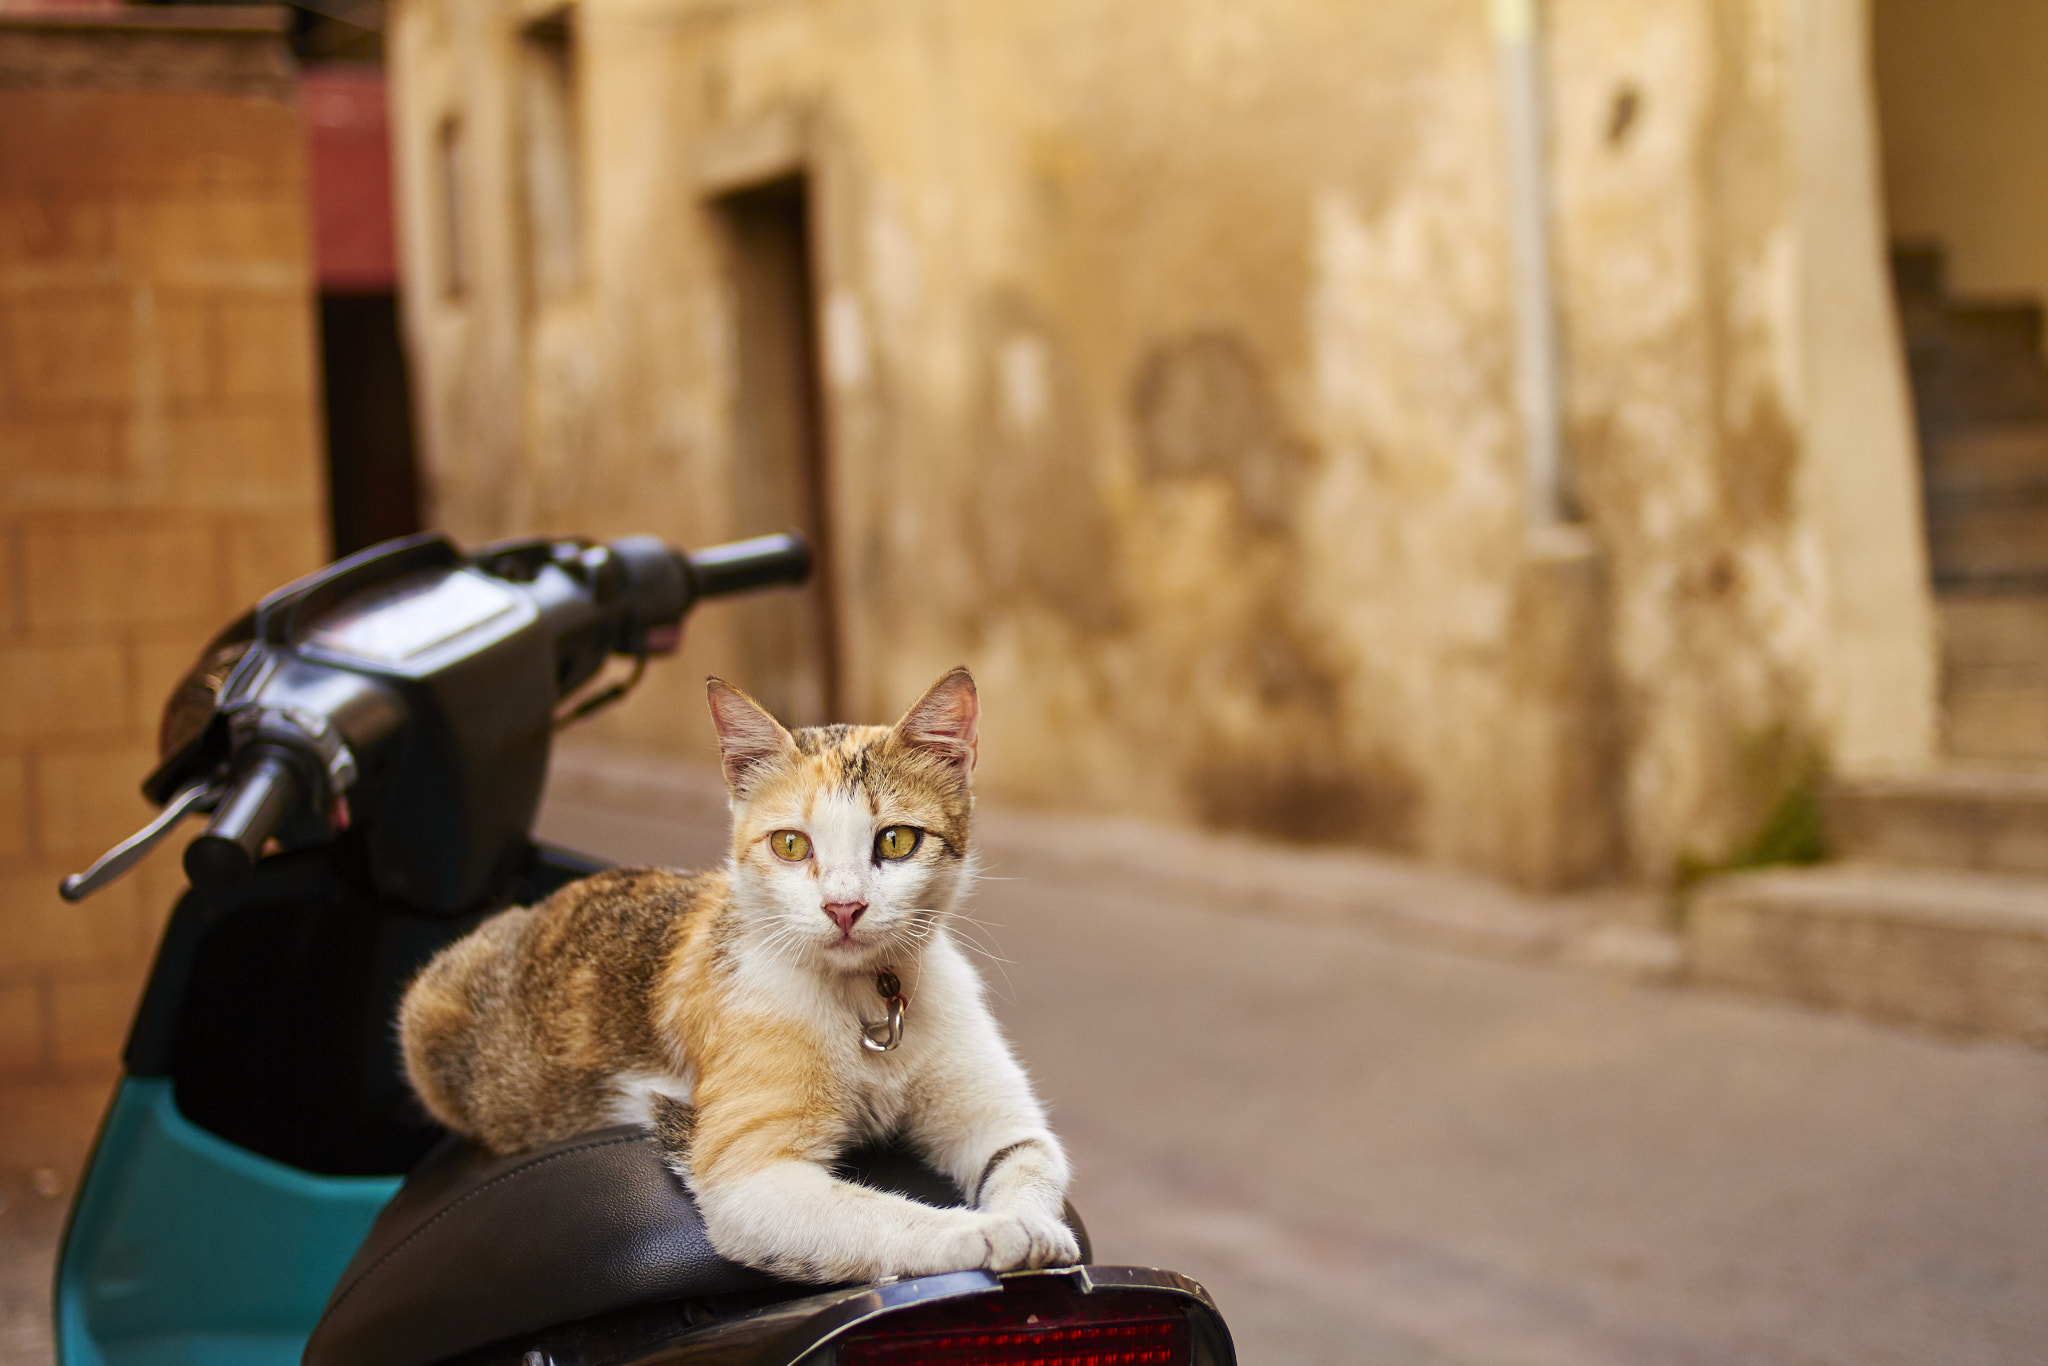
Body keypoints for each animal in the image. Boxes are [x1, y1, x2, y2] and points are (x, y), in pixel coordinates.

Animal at [389, 667, 1081, 1286]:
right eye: (791, 845)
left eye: (897, 840)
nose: (844, 907)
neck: (865, 1001)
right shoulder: (748, 1179)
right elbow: (888, 1216)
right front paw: (991, 1231)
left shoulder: (1005, 1124)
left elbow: (1030, 1161)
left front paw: (1033, 1227)